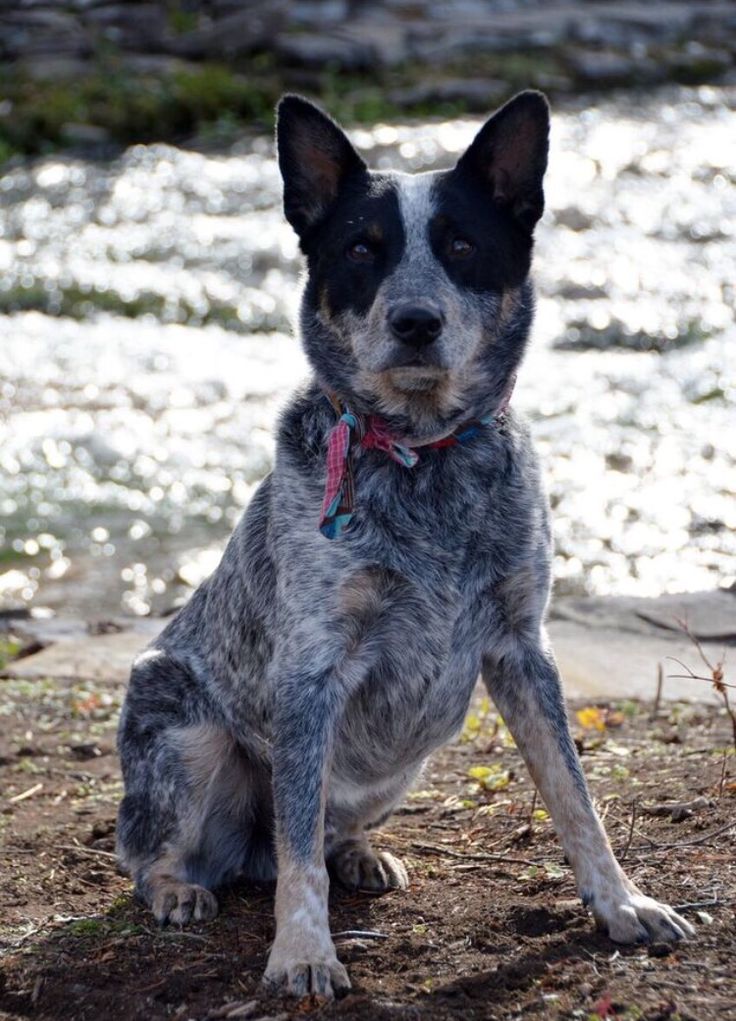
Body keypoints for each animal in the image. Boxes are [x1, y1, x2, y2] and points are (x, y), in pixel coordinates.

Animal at [116, 91, 694, 1000]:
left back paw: (360, 853)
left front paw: (621, 902)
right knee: (167, 849)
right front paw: (303, 951)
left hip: (408, 759)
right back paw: (180, 887)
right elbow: (298, 853)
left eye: (461, 245)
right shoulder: (311, 668)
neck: (425, 459)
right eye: (362, 248)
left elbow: (576, 795)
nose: (415, 321)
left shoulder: (522, 646)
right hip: (184, 727)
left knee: (323, 832)